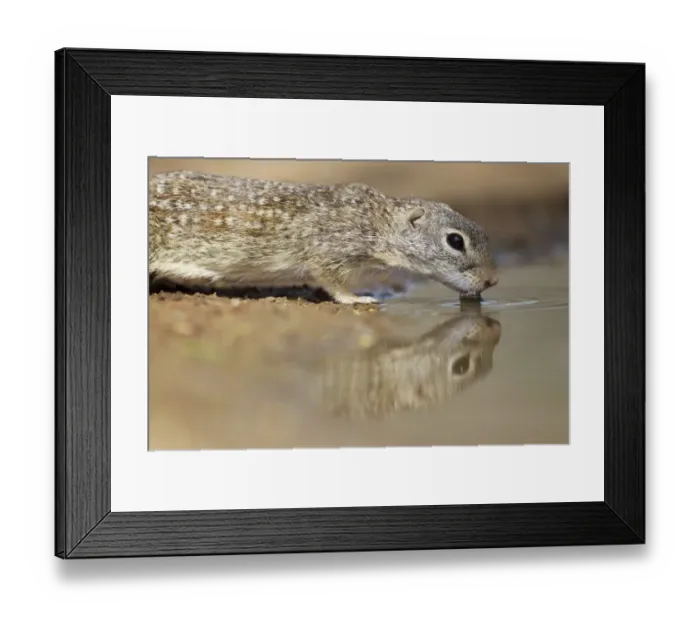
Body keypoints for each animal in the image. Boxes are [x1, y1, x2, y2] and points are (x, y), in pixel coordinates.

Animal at [148, 171, 499, 304]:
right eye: (455, 241)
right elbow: (332, 283)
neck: (374, 219)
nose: (493, 280)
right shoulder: (328, 253)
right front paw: (358, 298)